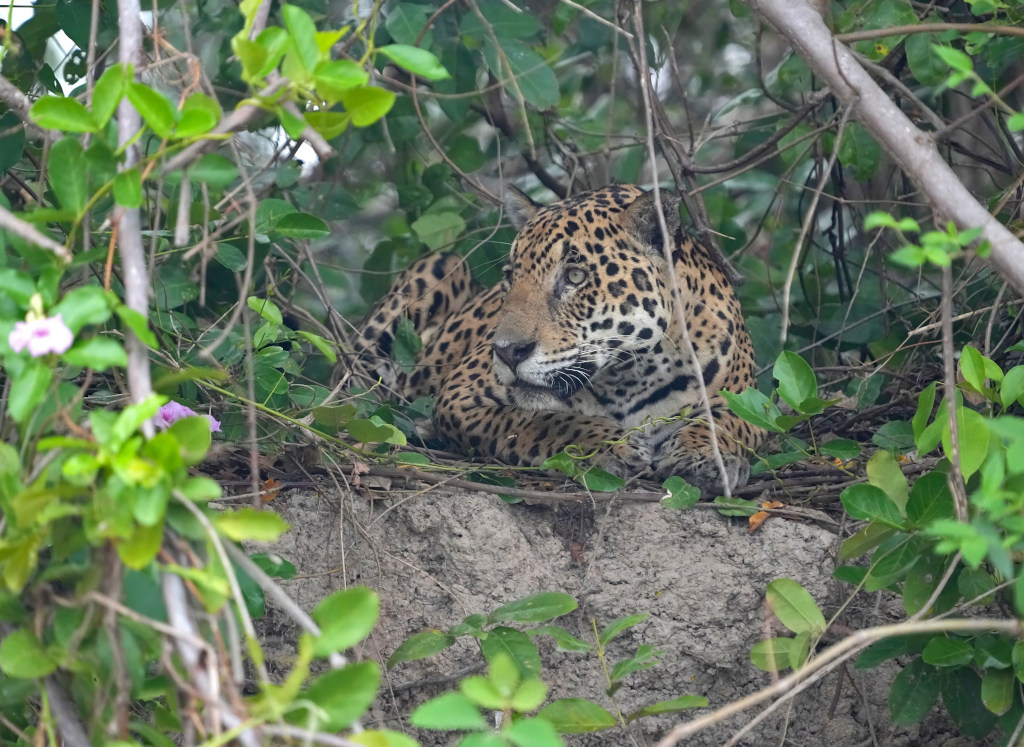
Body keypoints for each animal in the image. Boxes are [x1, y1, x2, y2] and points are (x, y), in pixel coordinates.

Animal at [357, 184, 764, 494]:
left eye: (575, 276)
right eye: (511, 275)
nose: (507, 352)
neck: (630, 376)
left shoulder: (748, 398)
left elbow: (731, 422)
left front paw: (704, 455)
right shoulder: (461, 395)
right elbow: (536, 421)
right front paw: (608, 445)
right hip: (442, 266)